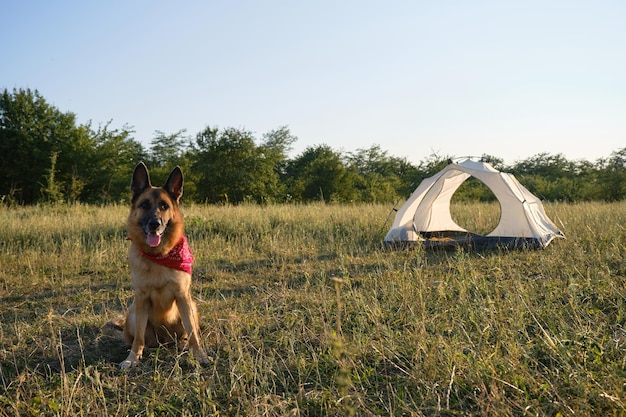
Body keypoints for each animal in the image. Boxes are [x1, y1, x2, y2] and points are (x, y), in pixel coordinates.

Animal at [113, 162, 208, 368]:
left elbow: (193, 334)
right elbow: (138, 338)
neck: (159, 256)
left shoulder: (183, 296)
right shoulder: (141, 298)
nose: (154, 224)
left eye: (164, 206)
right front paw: (132, 358)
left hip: (191, 308)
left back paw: (182, 344)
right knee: (138, 337)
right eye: (144, 205)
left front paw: (199, 355)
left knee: (187, 333)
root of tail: (164, 340)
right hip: (133, 314)